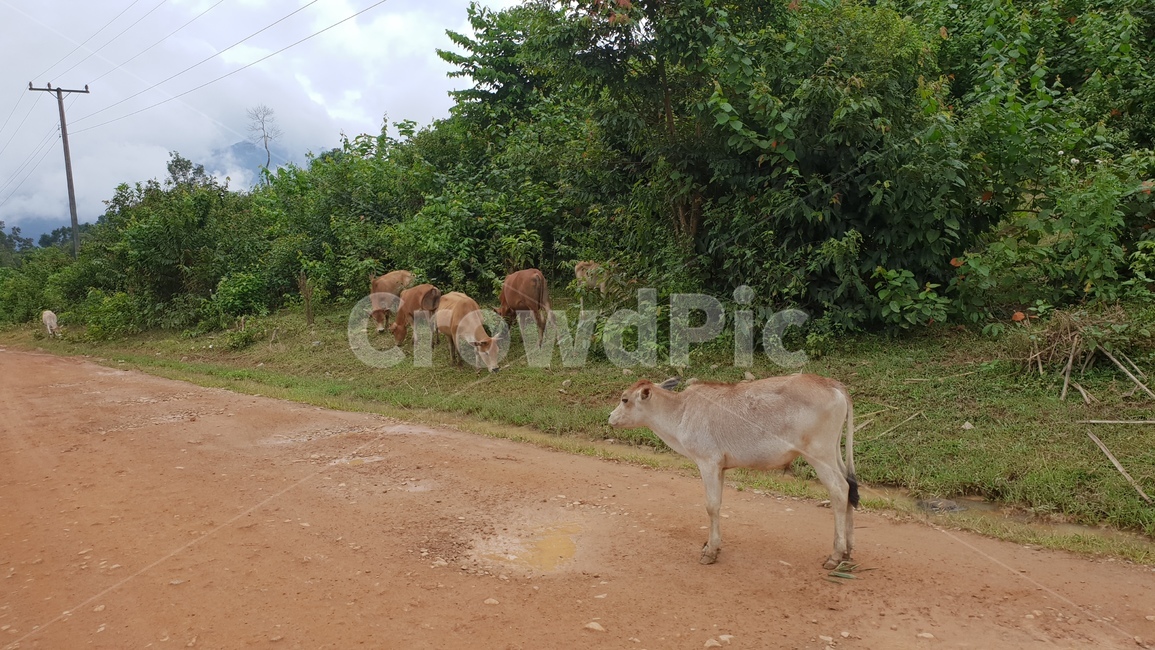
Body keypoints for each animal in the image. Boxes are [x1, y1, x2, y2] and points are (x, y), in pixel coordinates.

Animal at [608, 374, 858, 570]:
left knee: (839, 490)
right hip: (833, 452)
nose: (610, 417)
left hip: (819, 454)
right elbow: (718, 504)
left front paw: (710, 552)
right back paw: (847, 550)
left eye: (624, 399)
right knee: (848, 486)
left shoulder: (708, 463)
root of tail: (829, 382)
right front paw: (713, 546)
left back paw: (836, 554)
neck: (681, 411)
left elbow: (711, 506)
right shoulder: (720, 467)